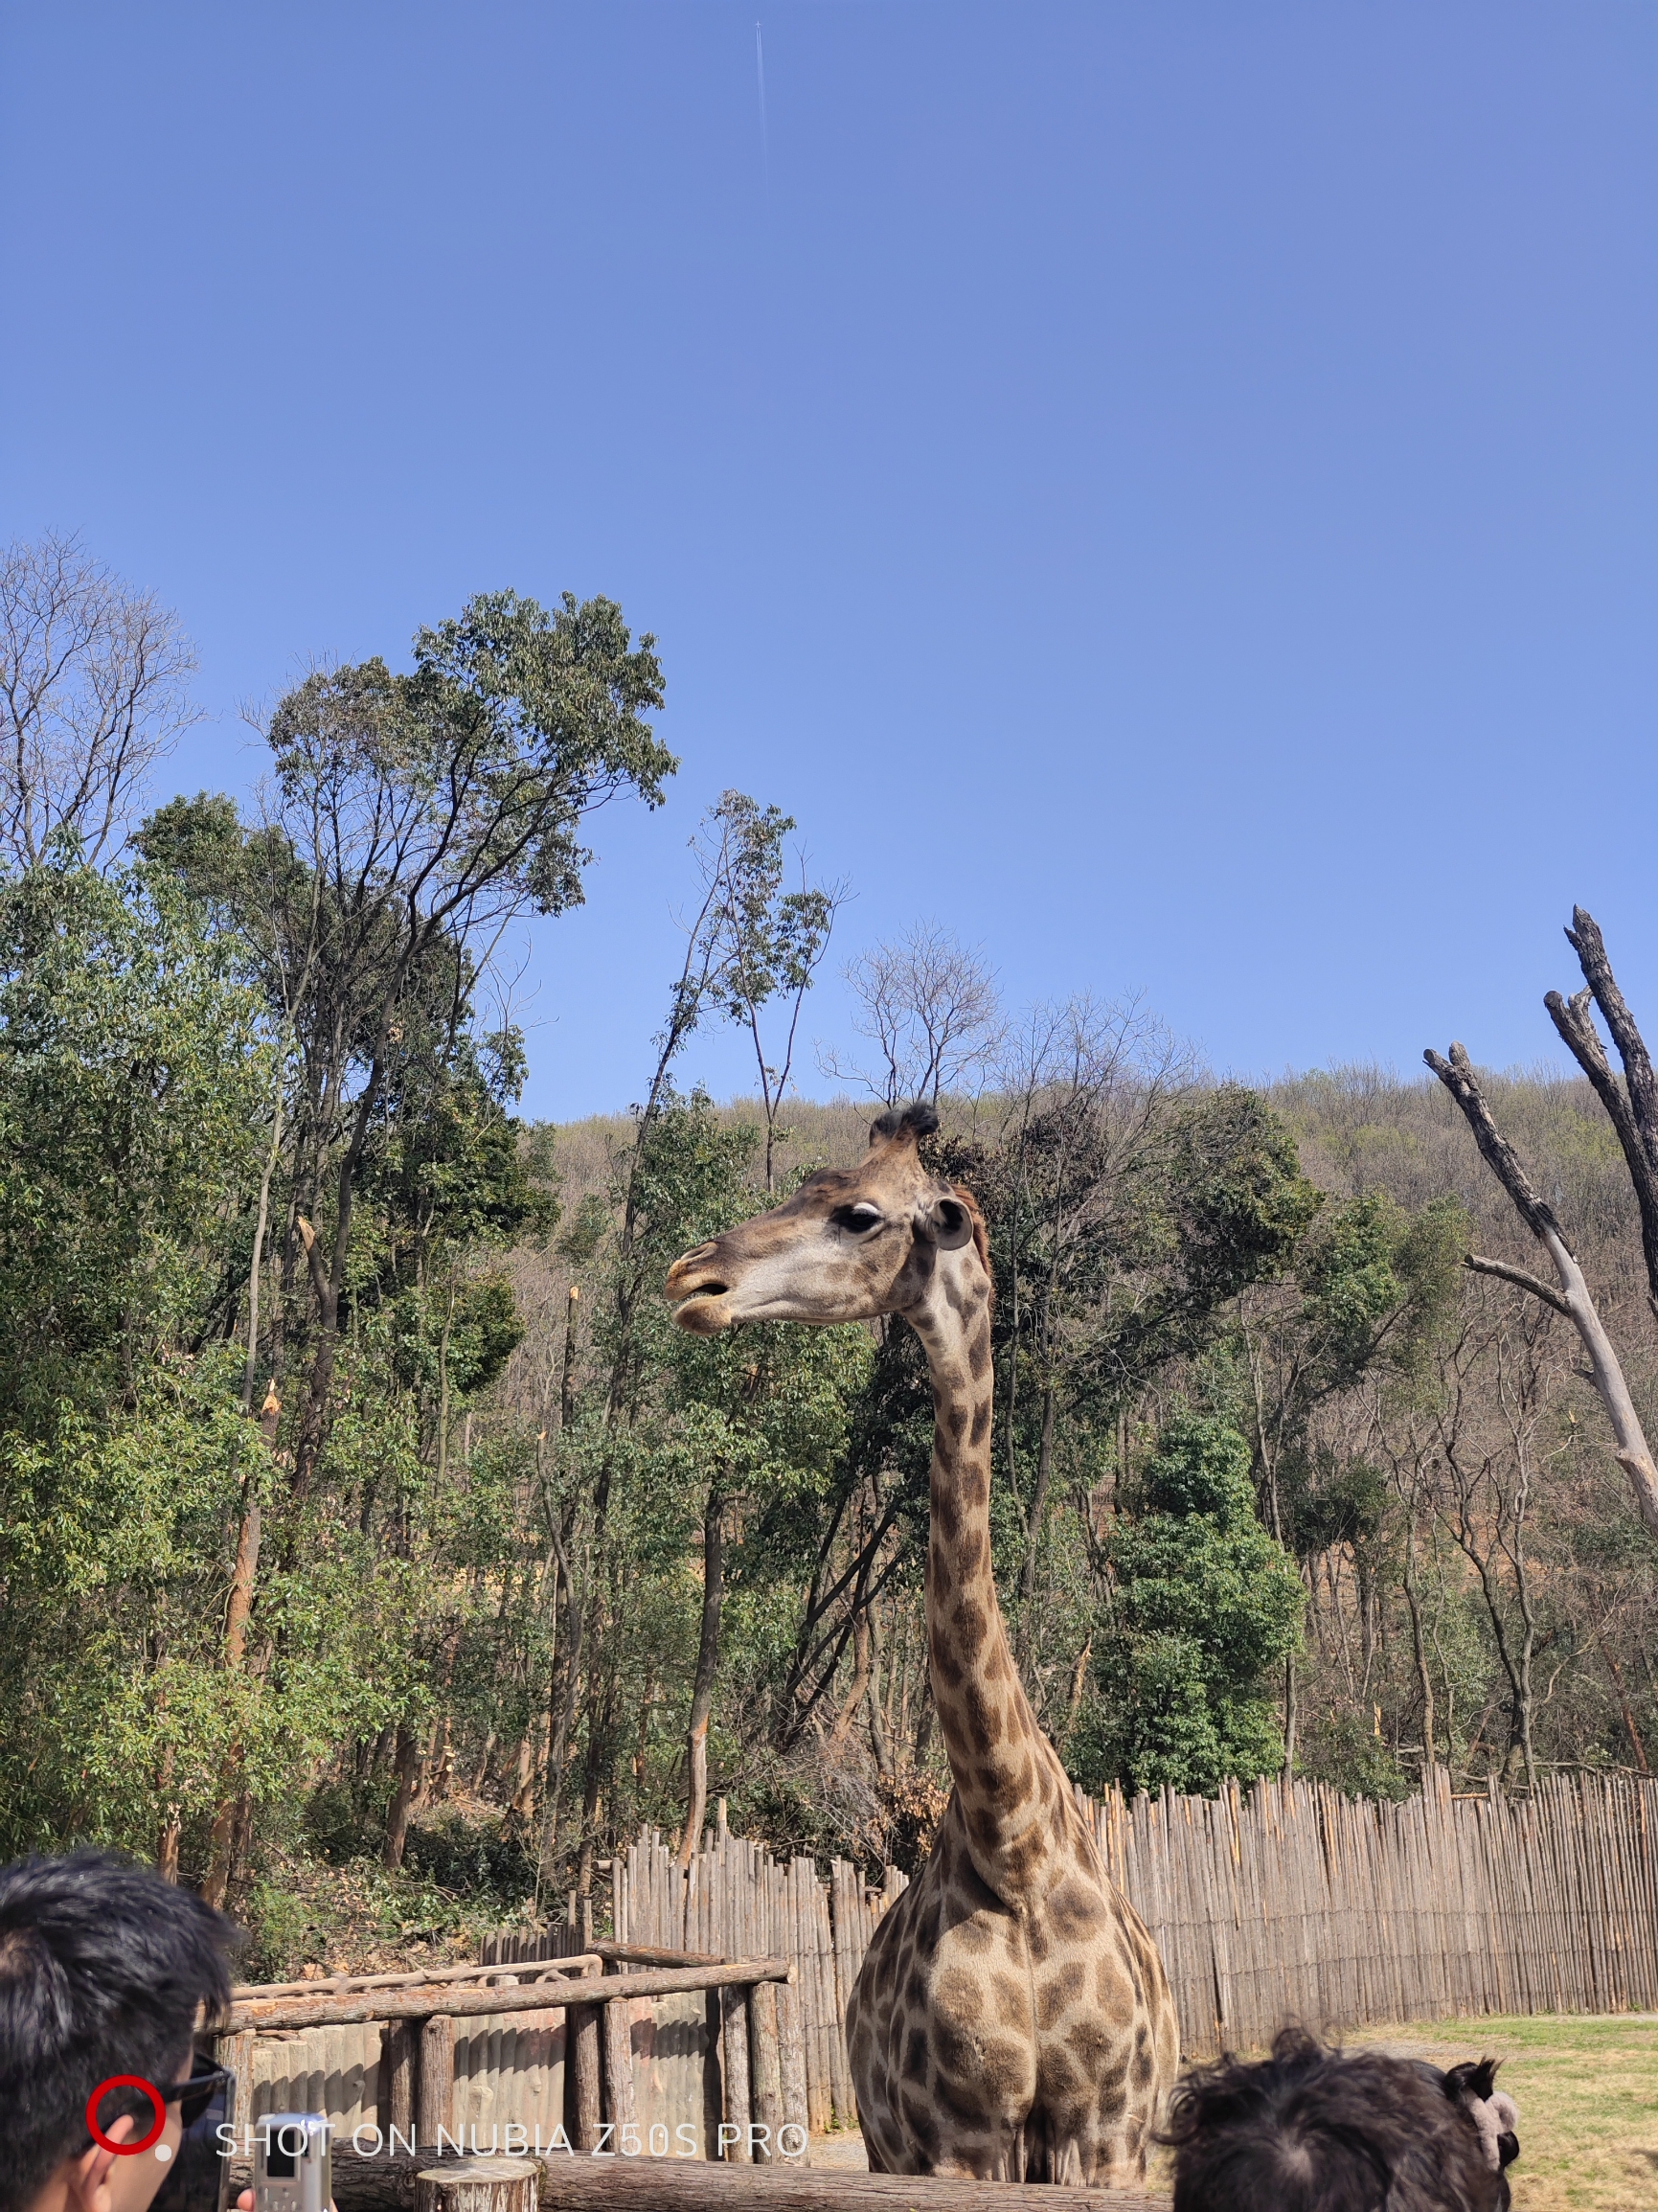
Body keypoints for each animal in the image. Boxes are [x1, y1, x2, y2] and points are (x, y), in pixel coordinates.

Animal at [668, 1101, 1185, 2177]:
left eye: (858, 1213)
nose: (691, 1280)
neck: (1013, 1840)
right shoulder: (958, 2137)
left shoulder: (1106, 2133)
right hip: (883, 2142)